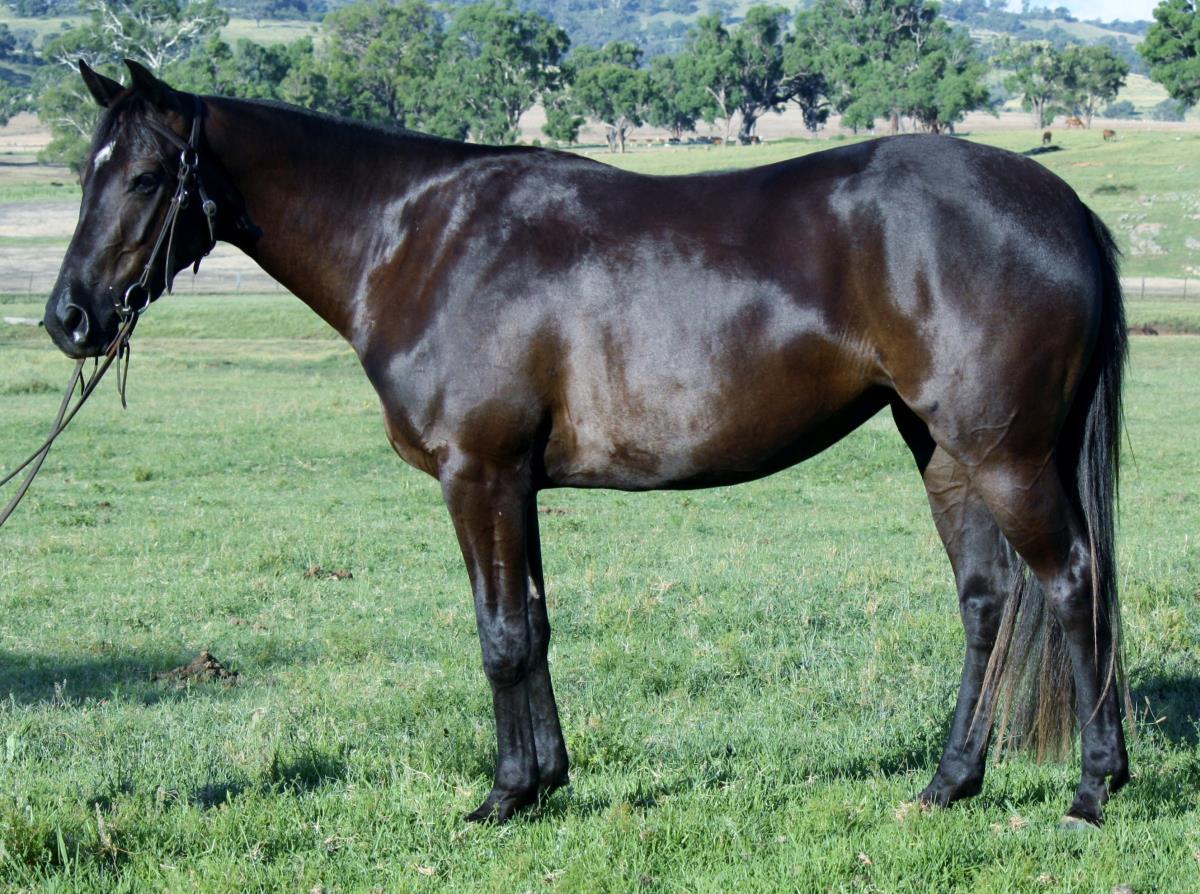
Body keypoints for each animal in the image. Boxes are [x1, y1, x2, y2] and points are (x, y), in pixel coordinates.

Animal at [44, 60, 1131, 826]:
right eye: (83, 173)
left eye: (145, 175)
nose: (70, 320)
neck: (419, 239)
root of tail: (1065, 208)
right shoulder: (514, 483)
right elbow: (530, 623)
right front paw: (542, 781)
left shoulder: (478, 474)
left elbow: (500, 634)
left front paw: (502, 795)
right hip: (944, 451)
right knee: (989, 601)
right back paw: (948, 785)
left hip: (1006, 457)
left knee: (1073, 582)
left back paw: (1091, 788)